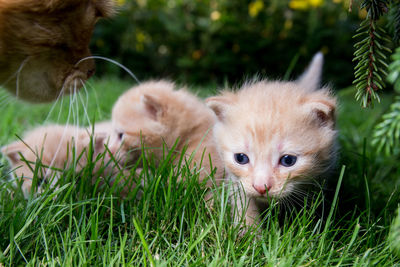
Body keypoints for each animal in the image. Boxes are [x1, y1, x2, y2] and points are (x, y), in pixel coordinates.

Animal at [206, 53, 338, 227]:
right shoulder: (236, 180)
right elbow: (243, 202)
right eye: (241, 158)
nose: (261, 187)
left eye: (288, 160)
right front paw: (249, 230)